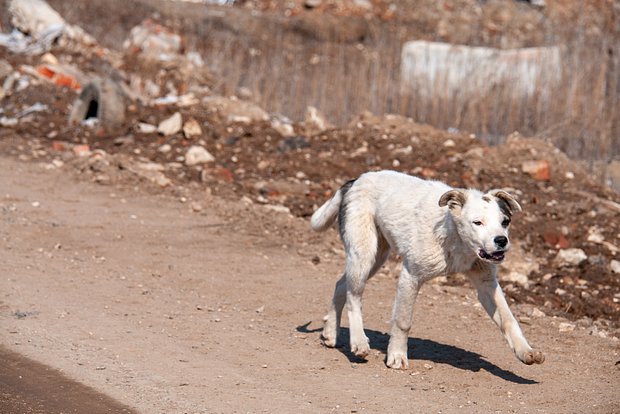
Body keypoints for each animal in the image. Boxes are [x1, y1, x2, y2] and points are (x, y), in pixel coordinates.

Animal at [310, 170, 544, 370]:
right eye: (477, 222)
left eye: (505, 222)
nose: (501, 241)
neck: (454, 237)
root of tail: (356, 180)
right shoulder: (410, 276)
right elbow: (403, 321)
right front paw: (397, 356)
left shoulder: (487, 284)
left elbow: (509, 319)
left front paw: (526, 352)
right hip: (364, 254)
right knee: (354, 297)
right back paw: (359, 342)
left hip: (377, 257)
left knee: (341, 285)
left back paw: (330, 333)